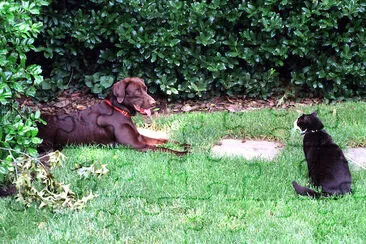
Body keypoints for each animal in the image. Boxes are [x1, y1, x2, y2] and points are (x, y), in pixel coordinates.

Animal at [37, 77, 189, 155]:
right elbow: (162, 148)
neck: (118, 109)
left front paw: (185, 144)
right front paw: (182, 153)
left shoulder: (139, 137)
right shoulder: (137, 145)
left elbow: (163, 140)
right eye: (137, 91)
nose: (154, 103)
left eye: (145, 89)